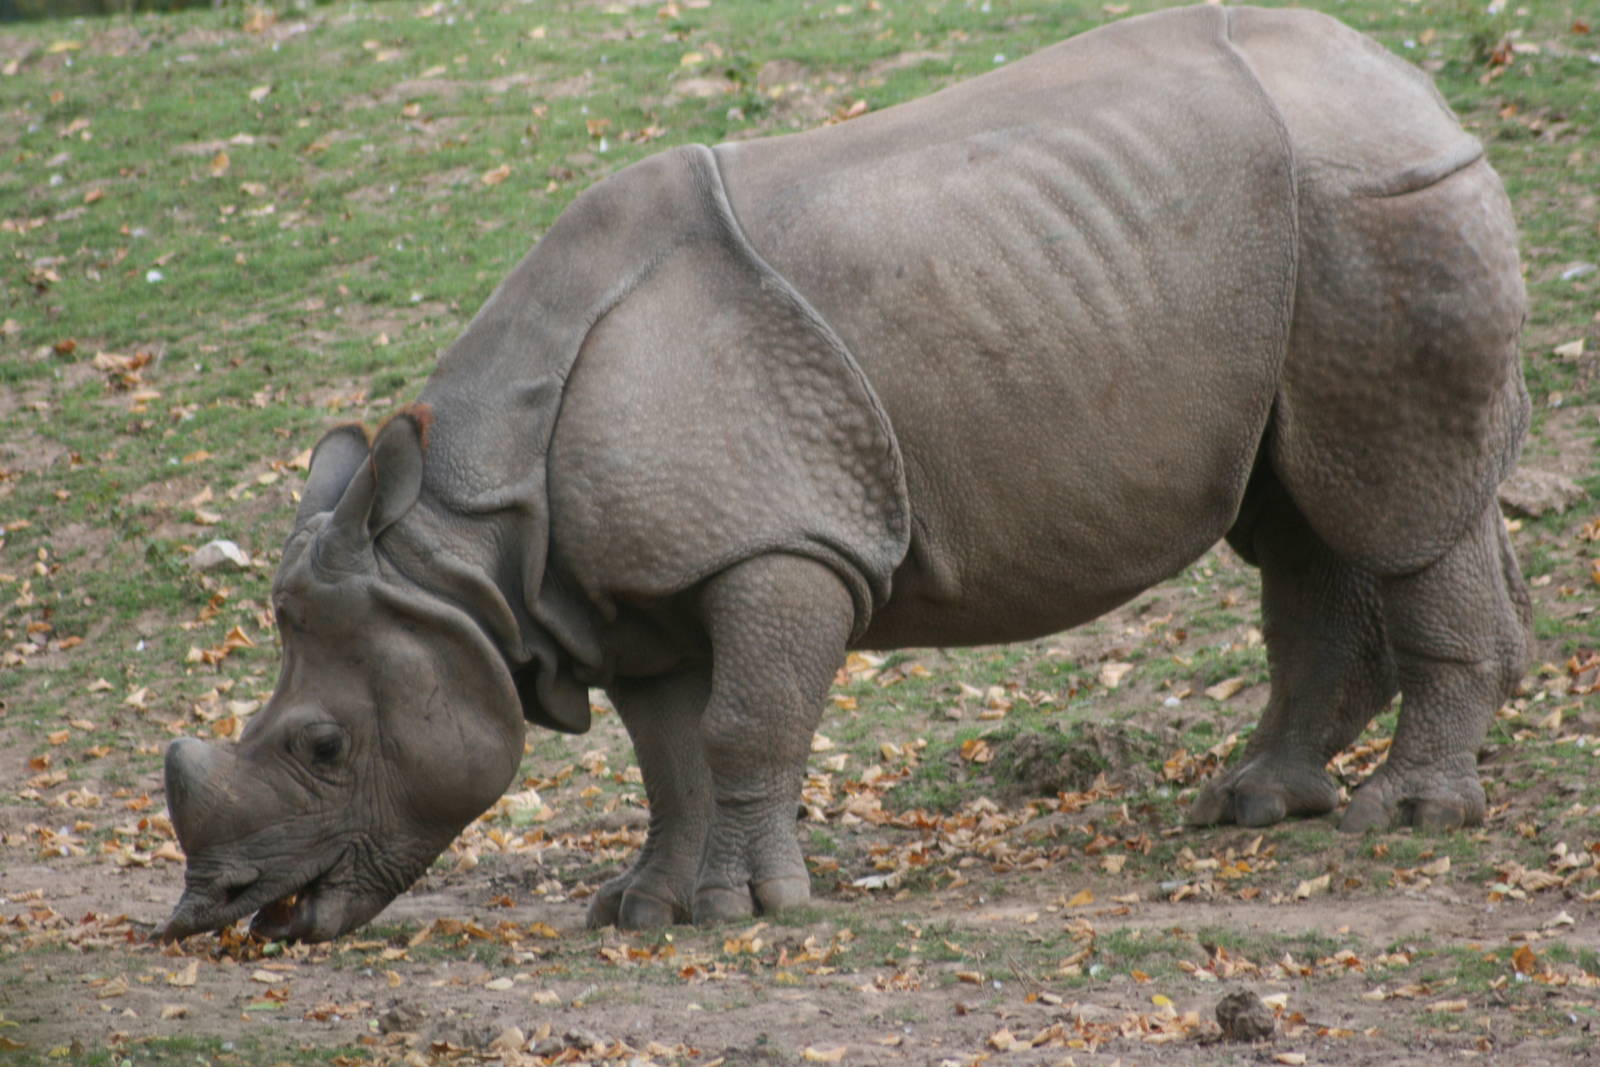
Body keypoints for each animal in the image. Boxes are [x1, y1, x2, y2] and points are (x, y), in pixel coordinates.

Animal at [157, 4, 1531, 942]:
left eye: (324, 745)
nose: (214, 907)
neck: (461, 547)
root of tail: (1414, 84)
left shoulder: (780, 542)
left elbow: (746, 720)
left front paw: (745, 912)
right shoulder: (628, 588)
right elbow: (671, 753)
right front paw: (640, 908)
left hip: (1373, 204)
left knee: (1397, 503)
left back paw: (1405, 818)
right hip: (1310, 230)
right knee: (1300, 512)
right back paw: (1251, 806)